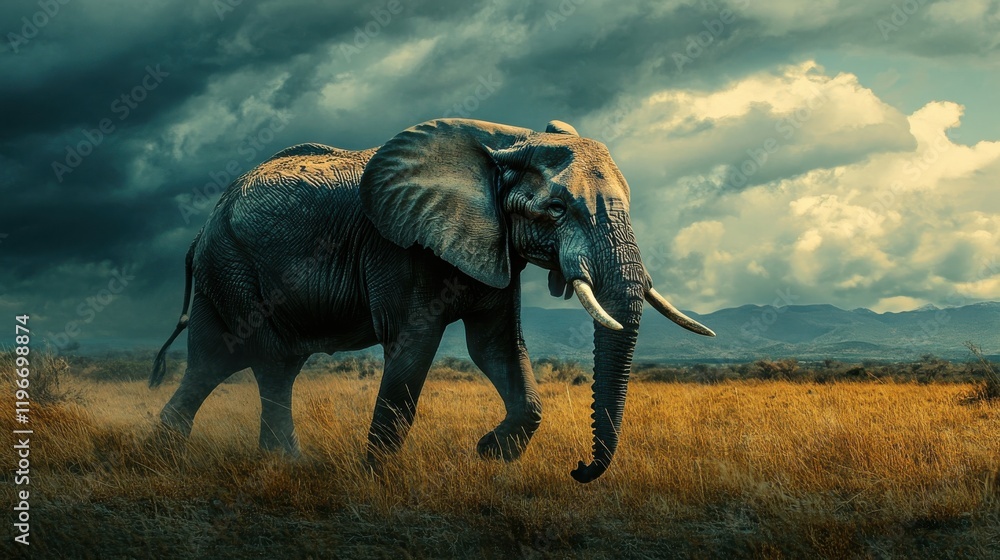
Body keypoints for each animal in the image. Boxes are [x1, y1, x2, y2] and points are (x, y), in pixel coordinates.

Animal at [150, 118, 714, 483]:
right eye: (556, 208)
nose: (578, 469)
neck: (508, 142)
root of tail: (201, 229)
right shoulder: (400, 249)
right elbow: (413, 348)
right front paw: (377, 482)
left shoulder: (495, 249)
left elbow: (496, 348)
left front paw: (487, 454)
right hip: (233, 265)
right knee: (265, 362)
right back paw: (284, 465)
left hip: (224, 273)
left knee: (215, 362)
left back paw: (166, 453)